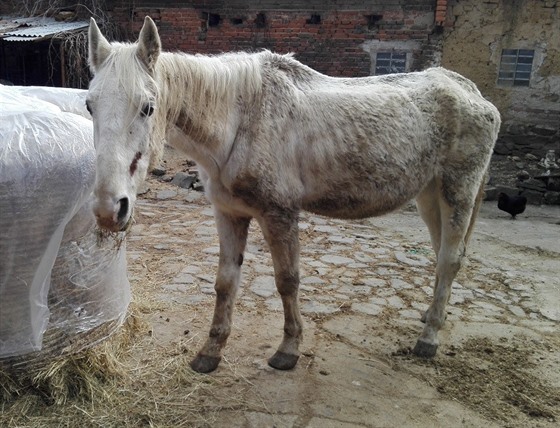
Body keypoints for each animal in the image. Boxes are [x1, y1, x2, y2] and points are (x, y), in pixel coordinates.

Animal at [88, 16, 504, 372]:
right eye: (90, 104)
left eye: (148, 107)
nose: (110, 208)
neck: (242, 119)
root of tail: (472, 92)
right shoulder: (229, 213)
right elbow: (225, 283)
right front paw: (210, 352)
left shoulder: (280, 214)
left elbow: (287, 280)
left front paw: (288, 350)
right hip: (430, 196)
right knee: (441, 254)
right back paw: (431, 317)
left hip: (457, 192)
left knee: (449, 260)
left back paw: (428, 339)